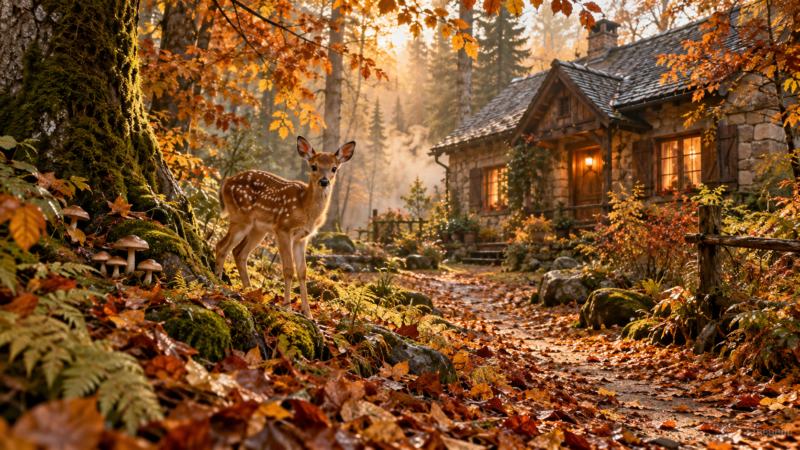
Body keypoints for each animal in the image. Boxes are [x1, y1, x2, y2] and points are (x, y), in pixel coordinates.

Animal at [214, 136, 356, 319]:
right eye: (314, 166)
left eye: (334, 168)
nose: (324, 181)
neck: (305, 207)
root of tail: (225, 182)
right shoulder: (283, 229)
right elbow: (288, 269)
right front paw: (287, 308)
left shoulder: (302, 237)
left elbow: (302, 271)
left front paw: (308, 314)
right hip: (240, 217)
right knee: (221, 246)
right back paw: (218, 283)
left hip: (257, 229)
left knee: (239, 253)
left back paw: (249, 292)